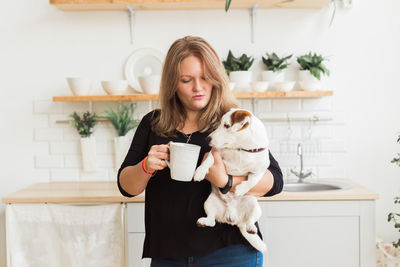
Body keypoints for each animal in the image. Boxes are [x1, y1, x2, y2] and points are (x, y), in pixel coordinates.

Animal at [193, 108, 270, 252]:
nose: (207, 138)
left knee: (250, 220)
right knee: (212, 220)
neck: (241, 149)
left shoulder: (260, 170)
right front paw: (200, 171)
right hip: (209, 202)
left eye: (227, 125)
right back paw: (203, 222)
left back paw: (251, 227)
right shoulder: (216, 152)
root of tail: (234, 219)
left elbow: (253, 180)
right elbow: (208, 160)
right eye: (219, 123)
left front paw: (241, 189)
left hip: (254, 205)